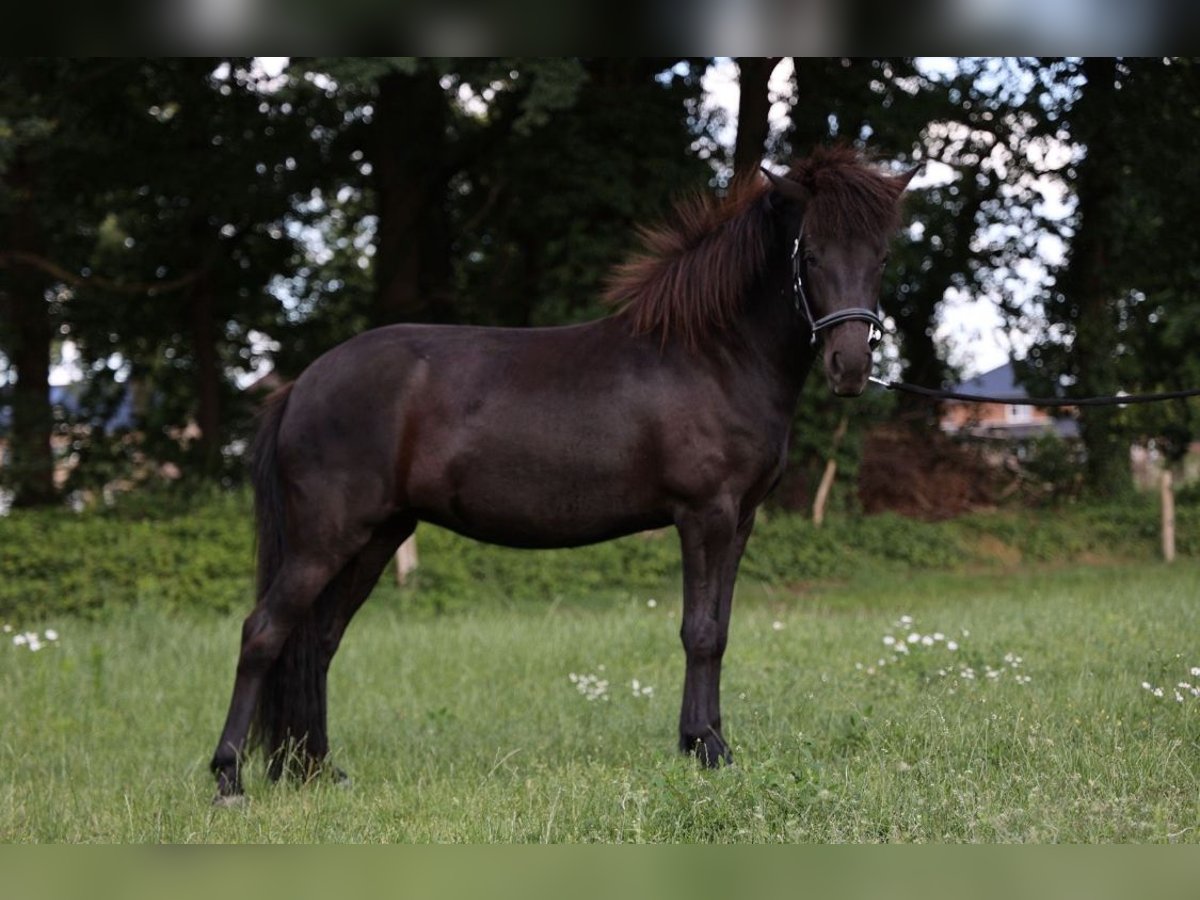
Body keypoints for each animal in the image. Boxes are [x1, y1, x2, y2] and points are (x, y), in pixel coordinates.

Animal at [211, 146, 912, 801]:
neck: (714, 355)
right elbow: (700, 632)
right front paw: (707, 749)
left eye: (881, 258)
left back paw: (315, 770)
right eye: (810, 254)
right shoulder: (704, 515)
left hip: (378, 536)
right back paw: (229, 779)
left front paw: (706, 741)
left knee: (320, 641)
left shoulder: (740, 521)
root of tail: (302, 385)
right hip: (324, 540)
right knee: (263, 633)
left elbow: (720, 630)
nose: (850, 366)